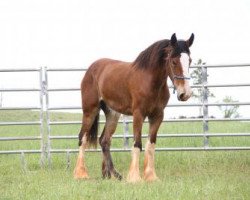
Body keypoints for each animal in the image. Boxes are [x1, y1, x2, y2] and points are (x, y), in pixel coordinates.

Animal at [73, 33, 194, 183]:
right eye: (173, 61)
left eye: (190, 60)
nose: (185, 94)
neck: (150, 81)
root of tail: (92, 68)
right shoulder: (138, 114)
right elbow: (137, 144)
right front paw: (135, 178)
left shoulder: (157, 116)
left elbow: (150, 145)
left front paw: (151, 176)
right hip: (90, 110)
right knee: (82, 138)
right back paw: (81, 174)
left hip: (112, 114)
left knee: (104, 141)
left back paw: (113, 175)